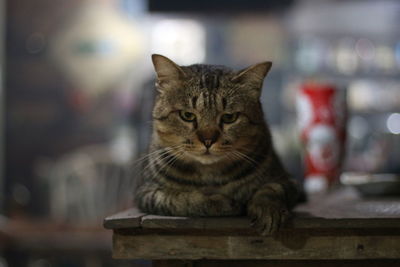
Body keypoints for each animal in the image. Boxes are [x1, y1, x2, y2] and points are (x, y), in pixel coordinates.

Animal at [136, 55, 298, 236]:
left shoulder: (289, 181)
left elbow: (272, 189)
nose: (208, 141)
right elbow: (179, 198)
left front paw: (268, 209)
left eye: (229, 117)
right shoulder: (146, 192)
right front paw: (219, 202)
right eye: (187, 115)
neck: (209, 175)